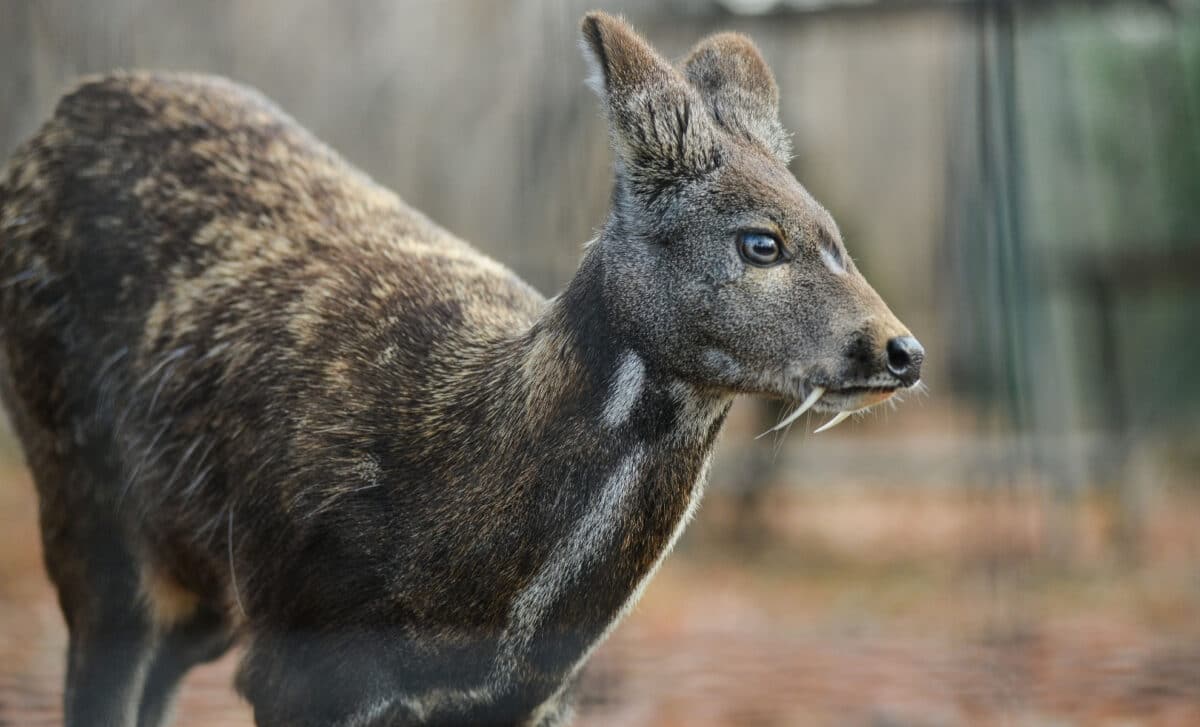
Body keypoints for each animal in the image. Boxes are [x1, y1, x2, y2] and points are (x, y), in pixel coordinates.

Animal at [0, 11, 923, 727]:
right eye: (760, 241)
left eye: (836, 233)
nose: (902, 350)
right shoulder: (299, 663)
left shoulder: (533, 698)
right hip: (83, 502)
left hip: (199, 590)